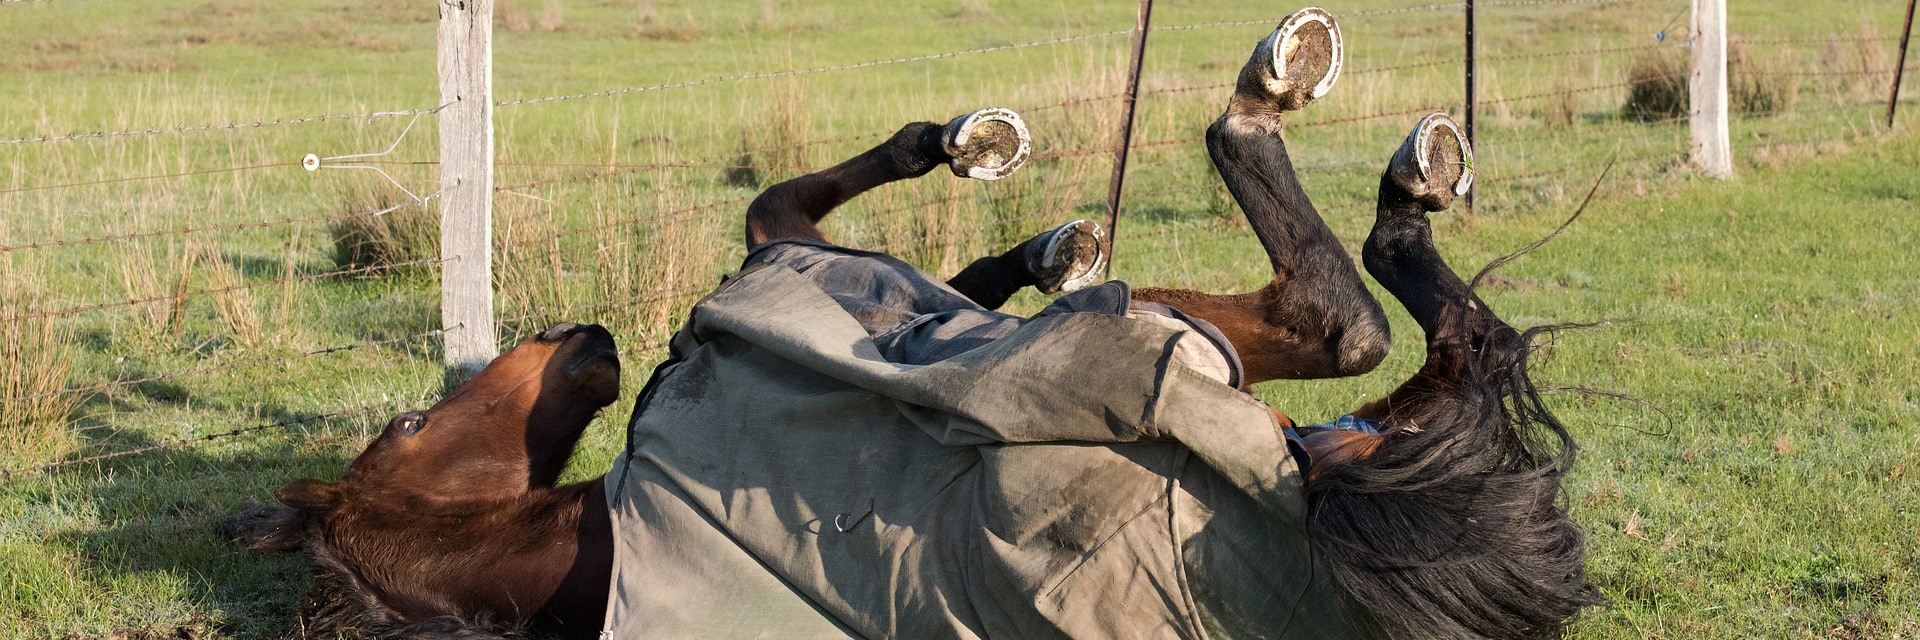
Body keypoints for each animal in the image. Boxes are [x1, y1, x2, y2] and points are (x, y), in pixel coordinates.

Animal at [232, 7, 1597, 634]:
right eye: (414, 423)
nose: (582, 340)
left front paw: (1014, 203)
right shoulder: (777, 269)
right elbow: (785, 208)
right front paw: (979, 167)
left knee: (1392, 327)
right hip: (1203, 358)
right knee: (1345, 311)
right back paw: (1304, 109)